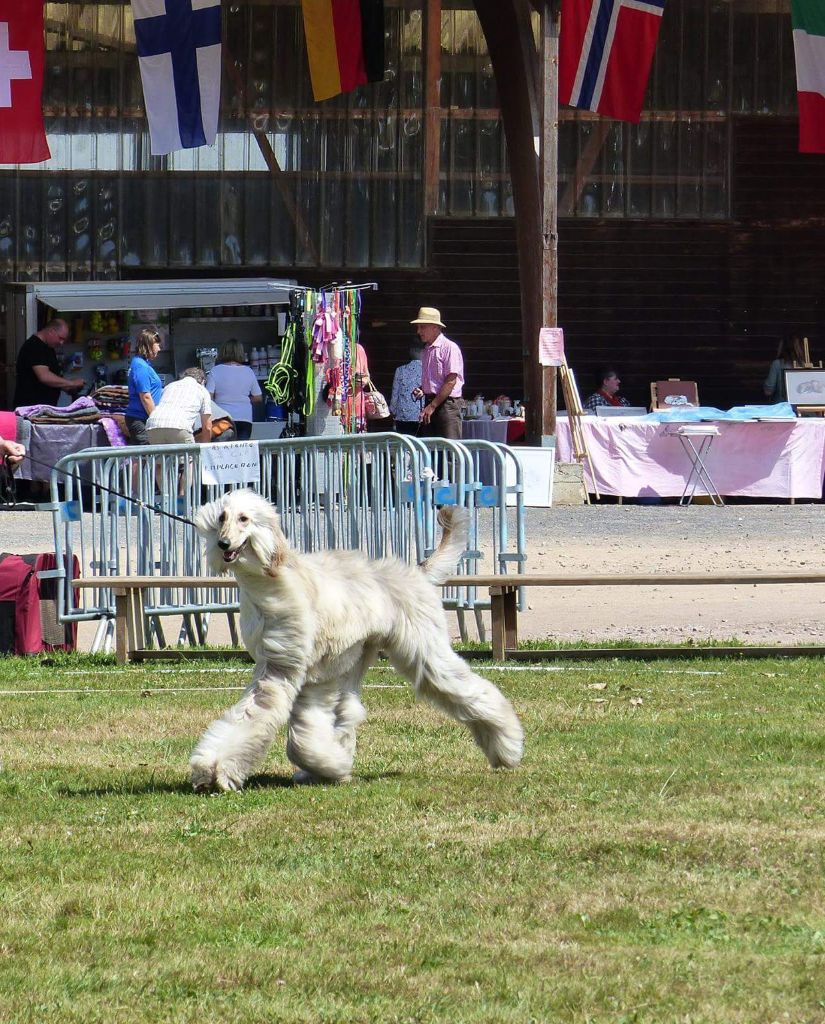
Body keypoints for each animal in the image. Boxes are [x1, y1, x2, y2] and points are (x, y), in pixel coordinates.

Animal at [190, 487, 524, 790]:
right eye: (221, 517)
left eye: (244, 518)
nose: (223, 543)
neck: (272, 582)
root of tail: (417, 573)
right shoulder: (308, 674)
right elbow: (298, 730)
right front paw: (328, 766)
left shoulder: (284, 669)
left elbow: (263, 720)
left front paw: (220, 770)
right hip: (356, 656)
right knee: (348, 711)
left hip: (422, 646)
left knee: (464, 687)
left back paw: (506, 746)